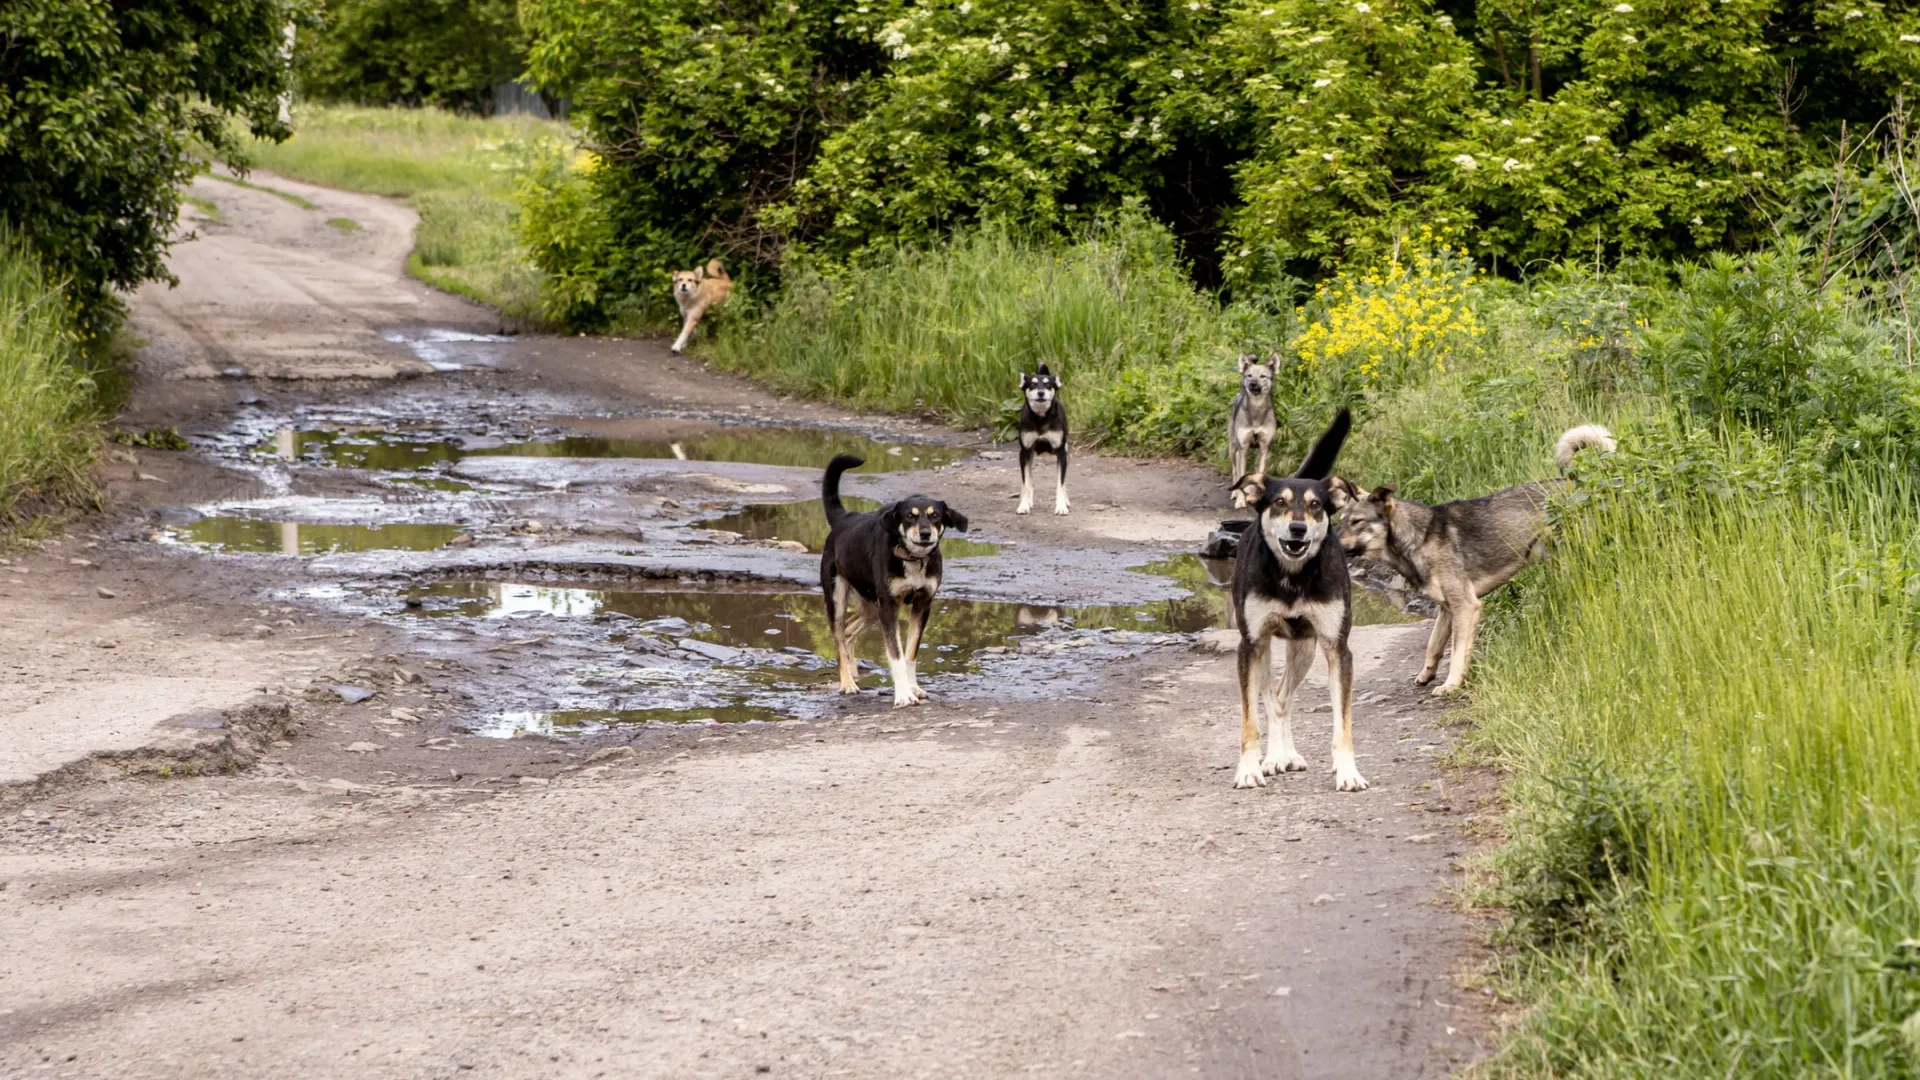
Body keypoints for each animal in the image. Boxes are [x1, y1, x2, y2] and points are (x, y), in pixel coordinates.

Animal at [817, 451, 967, 707]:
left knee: (848, 631)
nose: (925, 534)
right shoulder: (888, 606)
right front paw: (903, 695)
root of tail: (844, 519)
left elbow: (910, 653)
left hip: (870, 606)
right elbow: (896, 654)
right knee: (838, 637)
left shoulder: (922, 605)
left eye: (935, 516)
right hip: (838, 598)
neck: (912, 559)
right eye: (909, 516)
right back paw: (847, 682)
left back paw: (853, 669)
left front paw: (914, 688)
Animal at [1013, 361, 1075, 511]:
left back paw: (1066, 501)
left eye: (1048, 385)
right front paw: (1024, 505)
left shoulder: (1061, 453)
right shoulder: (1024, 452)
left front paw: (1061, 506)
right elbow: (1026, 483)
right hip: (1029, 455)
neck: (1041, 418)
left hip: (1066, 452)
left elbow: (1060, 483)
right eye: (1033, 384)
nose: (1041, 392)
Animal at [1228, 407, 1367, 787]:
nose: (1298, 528)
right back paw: (1276, 757)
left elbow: (1343, 723)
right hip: (1264, 650)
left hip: (1304, 647)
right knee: (1273, 699)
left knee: (1283, 697)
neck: (1293, 576)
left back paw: (1285, 754)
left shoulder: (1337, 648)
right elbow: (1250, 720)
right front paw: (1249, 769)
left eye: (1316, 505)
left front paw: (1348, 772)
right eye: (1279, 502)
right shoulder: (1250, 645)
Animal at [1328, 420, 1612, 687]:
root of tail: (1583, 482)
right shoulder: (1446, 610)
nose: (1330, 544)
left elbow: (1457, 652)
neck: (1418, 537)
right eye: (1341, 521)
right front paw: (1426, 674)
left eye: (1356, 522)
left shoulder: (1465, 606)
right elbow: (1433, 645)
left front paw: (1451, 684)